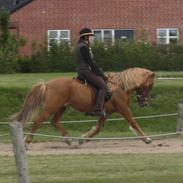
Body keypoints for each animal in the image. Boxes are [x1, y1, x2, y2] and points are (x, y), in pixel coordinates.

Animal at [12, 67, 155, 147]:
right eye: (150, 86)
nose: (144, 103)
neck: (119, 87)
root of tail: (47, 84)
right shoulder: (124, 109)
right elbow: (133, 122)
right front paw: (147, 139)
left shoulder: (105, 113)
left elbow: (98, 128)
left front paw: (83, 139)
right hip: (51, 108)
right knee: (38, 122)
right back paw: (26, 142)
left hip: (61, 107)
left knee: (55, 121)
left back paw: (68, 139)